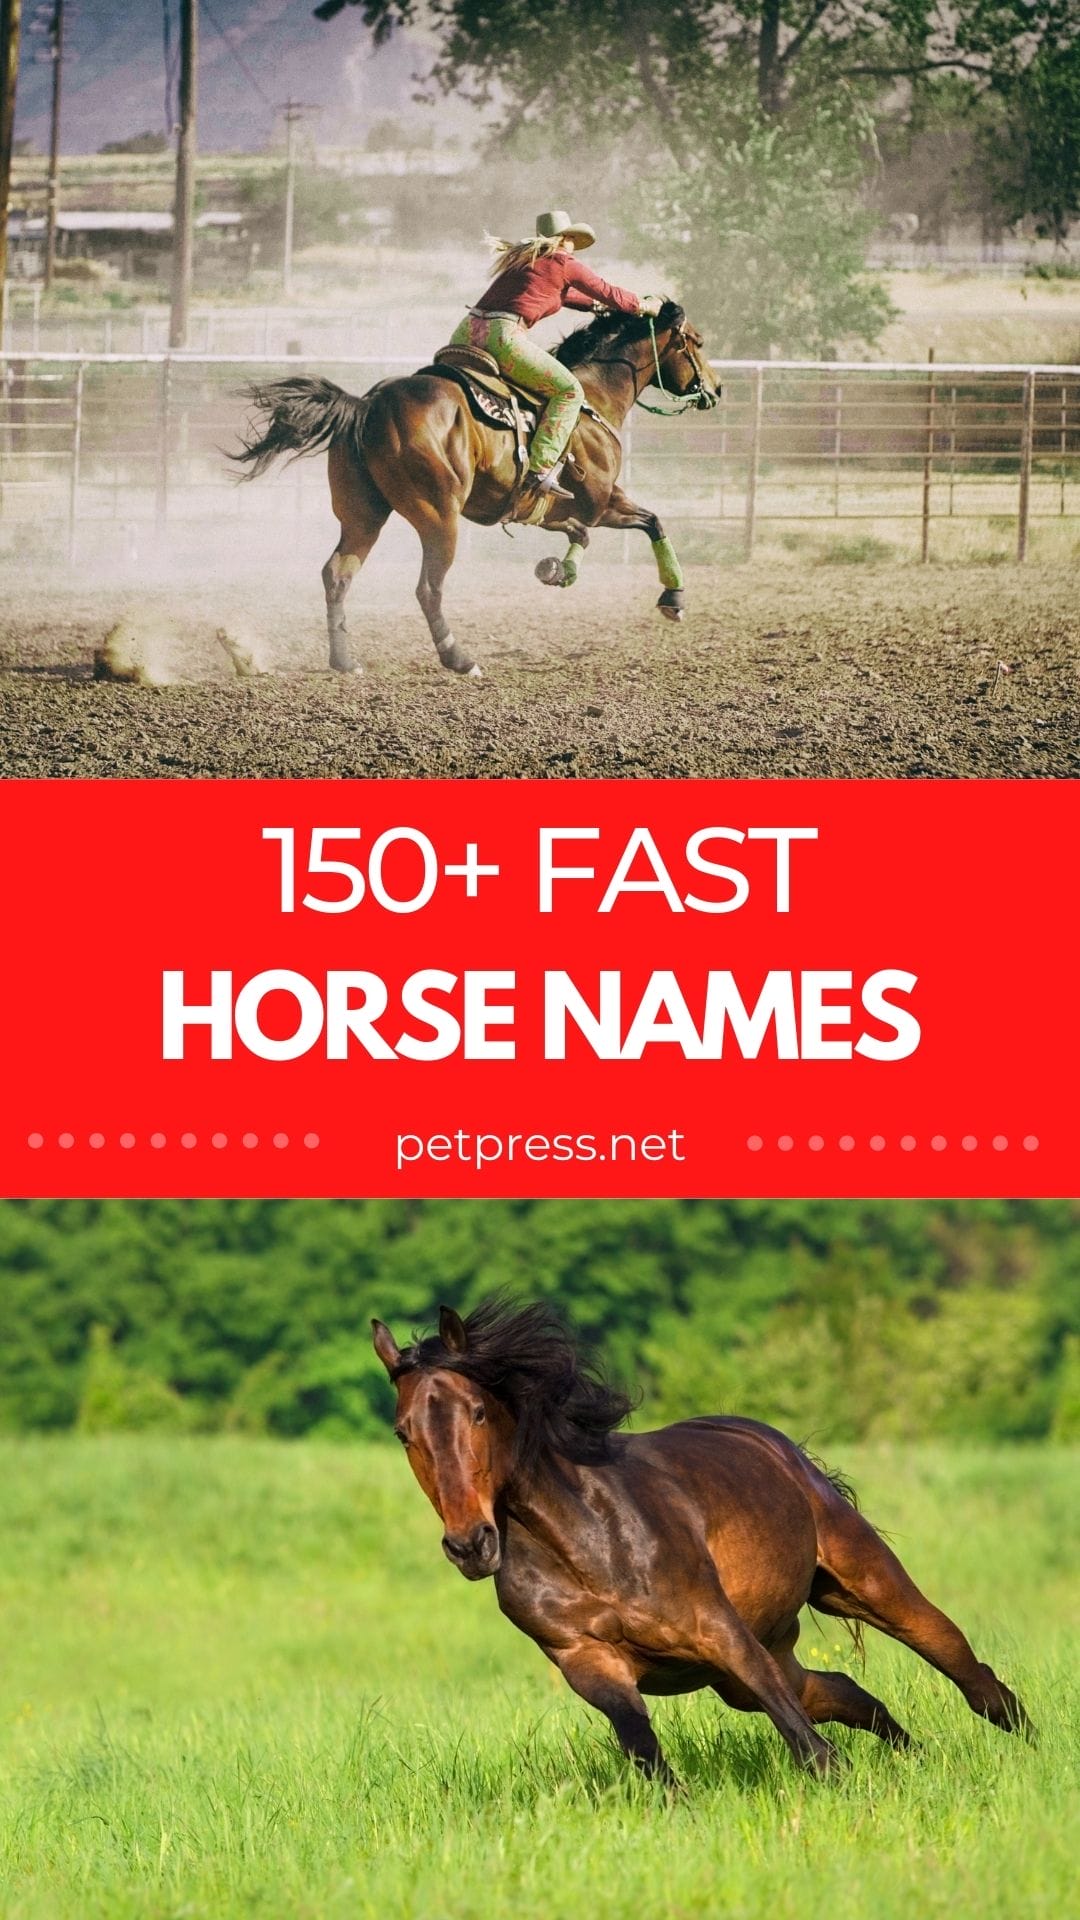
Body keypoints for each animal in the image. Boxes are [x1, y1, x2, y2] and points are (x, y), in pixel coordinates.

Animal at [231, 302, 718, 678]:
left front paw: (667, 597)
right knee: (428, 589)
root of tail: (368, 403)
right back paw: (459, 659)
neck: (592, 400)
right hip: (437, 516)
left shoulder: (583, 505)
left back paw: (345, 661)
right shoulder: (593, 502)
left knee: (338, 574)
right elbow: (604, 527)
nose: (716, 387)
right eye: (695, 341)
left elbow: (636, 523)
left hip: (363, 515)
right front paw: (568, 572)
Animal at [371, 1298, 1033, 1787]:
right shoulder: (589, 1664)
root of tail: (778, 1445)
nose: (471, 1545)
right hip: (753, 1668)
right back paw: (915, 1756)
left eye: (478, 1411)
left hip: (860, 1585)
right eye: (404, 1432)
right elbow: (646, 1754)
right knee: (844, 1690)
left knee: (958, 1661)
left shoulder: (719, 1630)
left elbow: (807, 1745)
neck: (585, 1546)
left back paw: (1024, 1735)